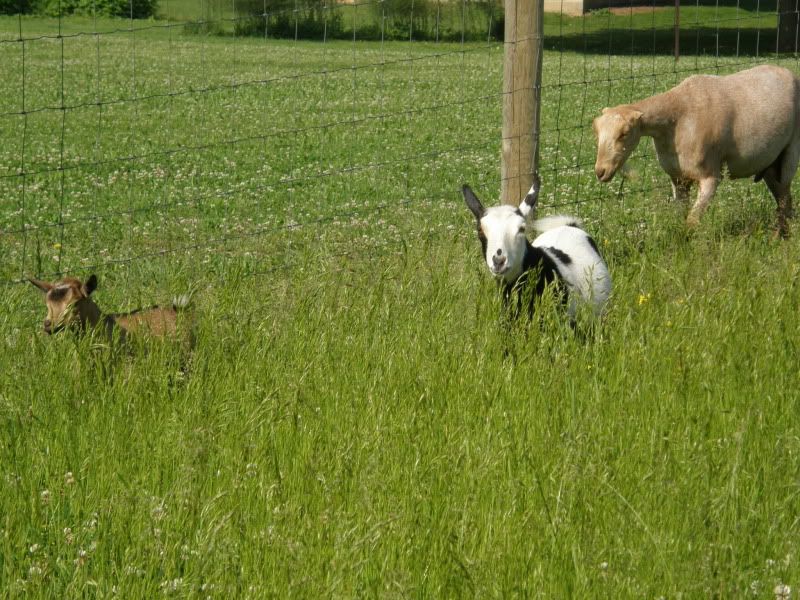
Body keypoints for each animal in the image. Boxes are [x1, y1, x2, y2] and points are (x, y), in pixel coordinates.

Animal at [593, 64, 800, 237]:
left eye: (624, 133)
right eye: (597, 131)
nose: (600, 171)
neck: (675, 120)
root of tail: (787, 71)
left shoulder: (710, 176)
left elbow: (691, 222)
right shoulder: (678, 178)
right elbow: (680, 217)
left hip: (791, 153)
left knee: (785, 201)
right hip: (771, 164)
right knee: (784, 201)